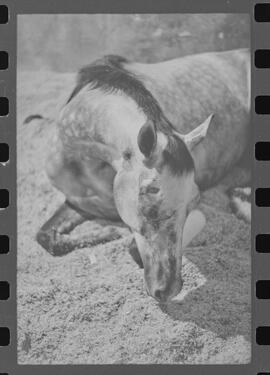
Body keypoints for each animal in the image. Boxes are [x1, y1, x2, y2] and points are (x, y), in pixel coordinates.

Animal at [34, 47, 250, 306]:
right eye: (148, 196)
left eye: (195, 201)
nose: (168, 290)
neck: (82, 158)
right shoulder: (80, 203)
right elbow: (45, 236)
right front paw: (105, 233)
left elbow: (134, 249)